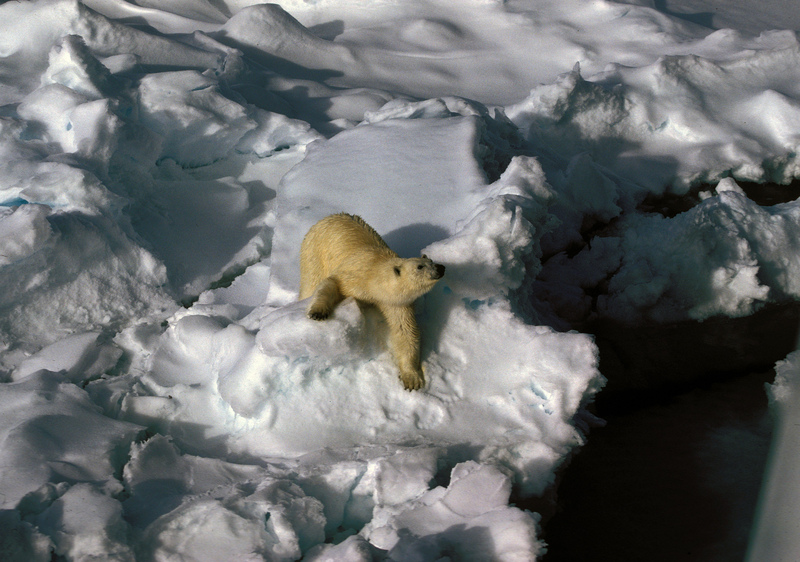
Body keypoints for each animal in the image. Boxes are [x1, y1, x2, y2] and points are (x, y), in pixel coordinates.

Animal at [300, 212, 446, 388]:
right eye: (420, 266)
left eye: (431, 261)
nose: (440, 268)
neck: (374, 276)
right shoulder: (354, 275)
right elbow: (331, 284)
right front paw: (318, 312)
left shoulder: (395, 302)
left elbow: (405, 330)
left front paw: (412, 378)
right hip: (313, 253)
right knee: (311, 282)